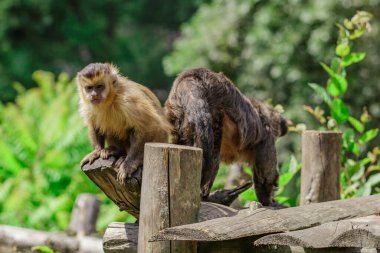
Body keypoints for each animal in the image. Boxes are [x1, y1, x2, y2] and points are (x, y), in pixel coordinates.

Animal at [165, 67, 286, 208]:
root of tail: (190, 77)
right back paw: (209, 197)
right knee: (213, 155)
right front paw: (269, 201)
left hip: (176, 112)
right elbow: (266, 174)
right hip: (214, 107)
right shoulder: (267, 136)